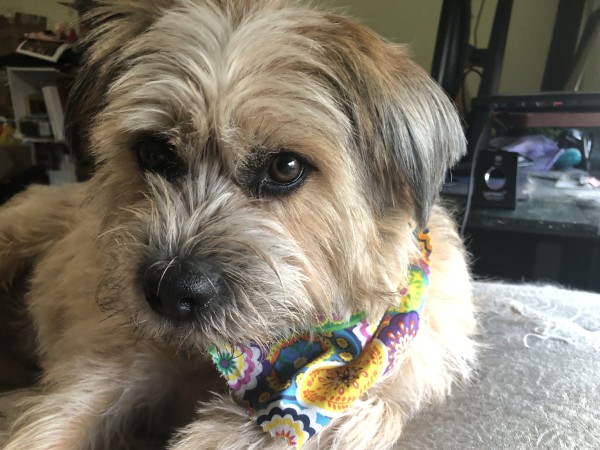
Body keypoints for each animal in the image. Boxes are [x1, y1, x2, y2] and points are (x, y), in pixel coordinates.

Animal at [2, 0, 476, 450]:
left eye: (286, 167)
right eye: (153, 152)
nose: (171, 292)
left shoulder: (361, 394)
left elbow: (347, 418)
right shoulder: (98, 376)